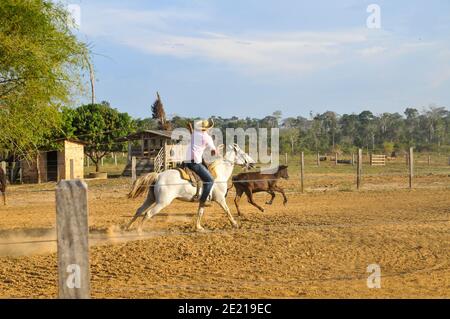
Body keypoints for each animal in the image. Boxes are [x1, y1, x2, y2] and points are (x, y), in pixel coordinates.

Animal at [126, 145, 255, 232]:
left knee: (139, 210)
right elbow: (227, 211)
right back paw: (139, 232)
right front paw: (235, 224)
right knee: (148, 213)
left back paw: (127, 227)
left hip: (151, 198)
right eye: (243, 153)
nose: (253, 163)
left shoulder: (203, 199)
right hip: (162, 202)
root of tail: (158, 175)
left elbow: (200, 212)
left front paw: (199, 227)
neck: (220, 173)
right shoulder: (220, 199)